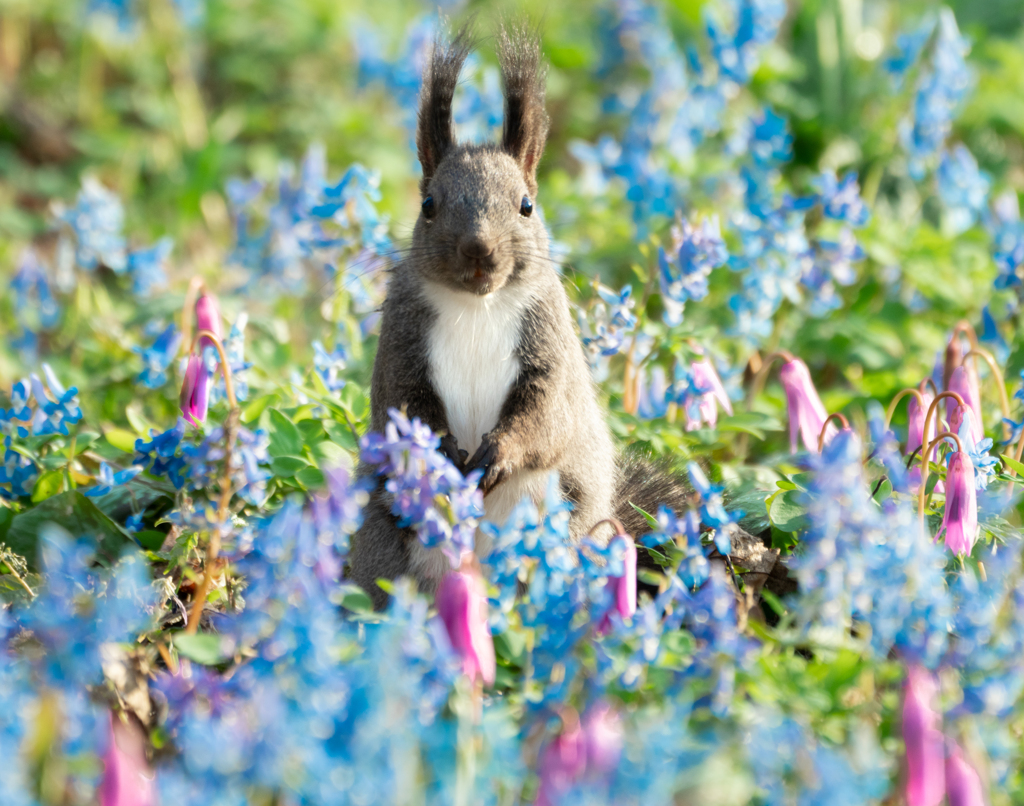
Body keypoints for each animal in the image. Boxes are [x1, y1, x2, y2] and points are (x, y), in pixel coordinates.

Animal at [348, 23, 692, 610]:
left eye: (527, 205)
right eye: (429, 205)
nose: (478, 251)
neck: (477, 304)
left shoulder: (548, 338)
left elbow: (546, 412)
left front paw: (497, 454)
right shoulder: (402, 337)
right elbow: (406, 402)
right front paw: (445, 455)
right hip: (384, 531)